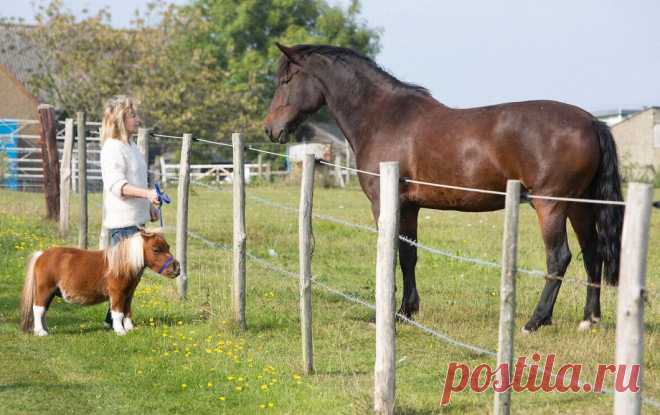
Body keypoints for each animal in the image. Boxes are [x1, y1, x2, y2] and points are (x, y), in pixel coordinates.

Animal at [21, 229, 180, 336]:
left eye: (168, 247)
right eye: (156, 249)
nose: (177, 268)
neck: (122, 264)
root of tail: (41, 255)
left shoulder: (129, 294)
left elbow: (127, 311)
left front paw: (129, 328)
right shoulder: (117, 293)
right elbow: (118, 312)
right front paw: (120, 331)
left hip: (51, 292)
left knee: (43, 310)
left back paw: (45, 329)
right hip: (45, 289)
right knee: (38, 309)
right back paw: (40, 331)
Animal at [264, 43, 624, 334]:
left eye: (285, 80)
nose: (270, 129)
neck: (384, 118)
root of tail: (592, 121)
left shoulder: (385, 203)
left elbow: (392, 254)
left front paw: (388, 314)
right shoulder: (409, 206)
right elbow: (408, 255)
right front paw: (406, 311)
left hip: (550, 205)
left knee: (559, 258)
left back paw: (535, 321)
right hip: (579, 205)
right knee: (592, 254)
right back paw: (589, 319)